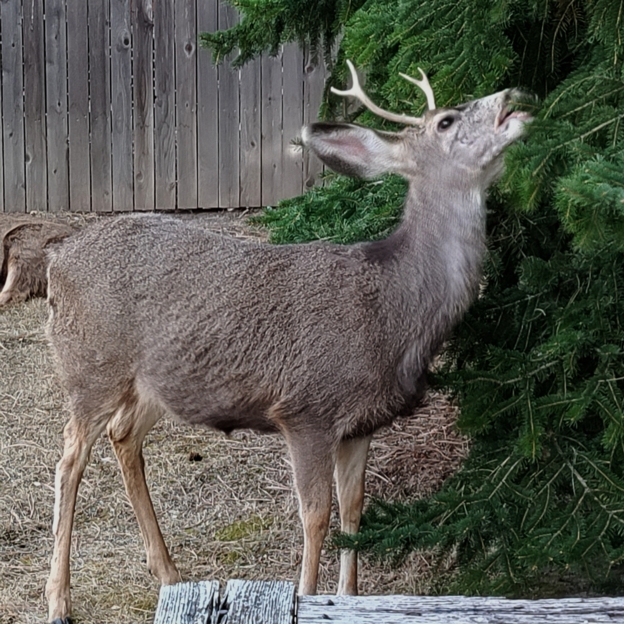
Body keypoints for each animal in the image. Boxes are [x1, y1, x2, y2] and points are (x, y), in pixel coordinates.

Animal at [44, 60, 530, 623]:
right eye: (447, 121)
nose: (512, 96)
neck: (394, 307)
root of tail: (57, 262)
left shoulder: (362, 421)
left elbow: (353, 510)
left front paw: (351, 597)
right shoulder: (306, 409)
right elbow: (316, 514)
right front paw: (306, 594)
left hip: (151, 383)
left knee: (123, 437)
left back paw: (169, 573)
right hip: (91, 364)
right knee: (69, 460)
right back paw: (59, 600)